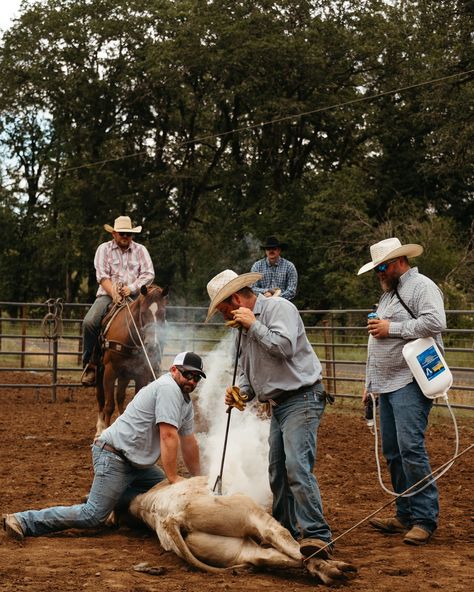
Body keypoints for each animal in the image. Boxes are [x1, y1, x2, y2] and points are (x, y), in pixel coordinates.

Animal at [95, 284, 168, 438]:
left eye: (163, 314)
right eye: (143, 313)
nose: (152, 345)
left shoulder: (142, 374)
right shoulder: (109, 371)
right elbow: (109, 406)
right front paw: (105, 431)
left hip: (125, 375)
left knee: (120, 397)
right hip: (100, 369)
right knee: (101, 397)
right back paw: (99, 430)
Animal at [130, 476, 356, 584]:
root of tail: (173, 518)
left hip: (236, 549)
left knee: (266, 557)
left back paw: (334, 570)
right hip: (250, 512)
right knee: (282, 540)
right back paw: (333, 568)